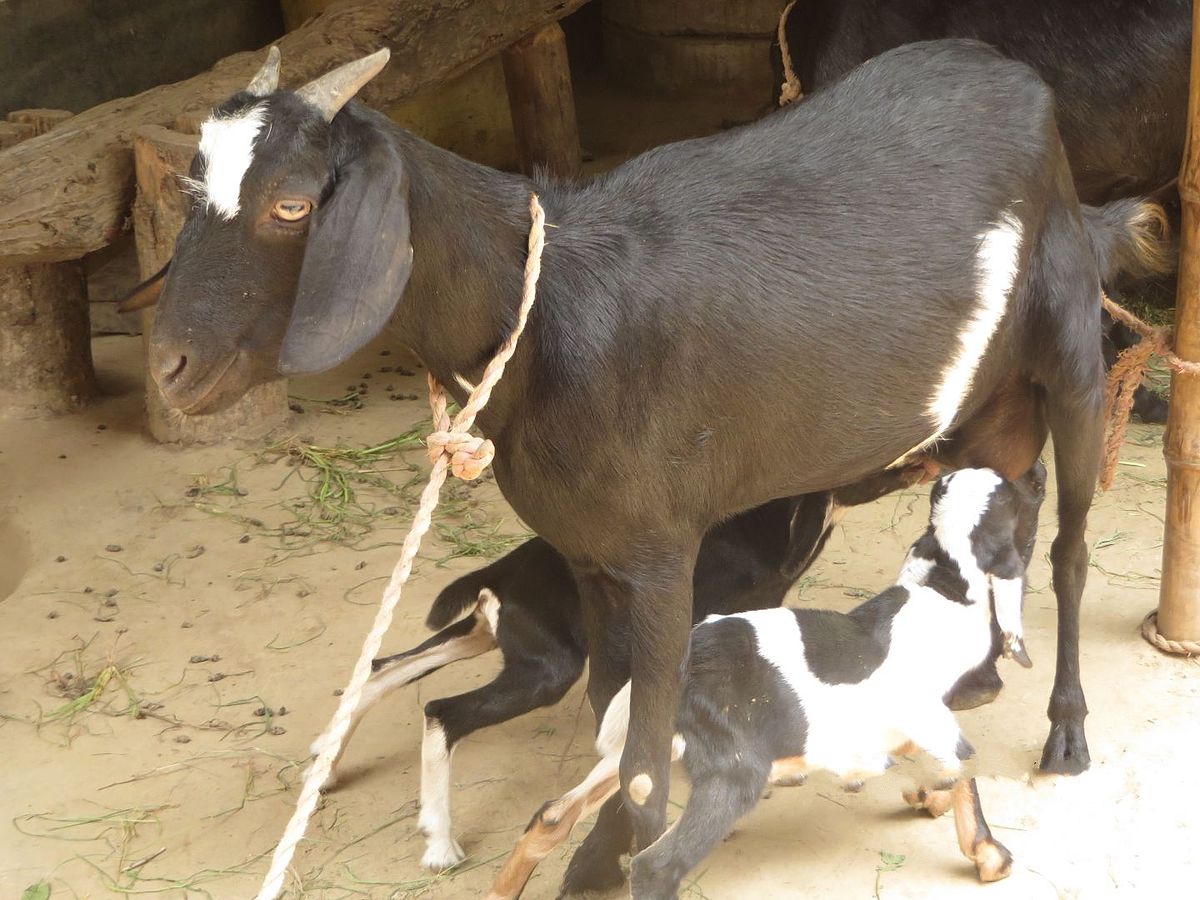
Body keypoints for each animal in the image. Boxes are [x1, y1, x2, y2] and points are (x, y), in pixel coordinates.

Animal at [136, 40, 1166, 897]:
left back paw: (1065, 733)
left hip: (1073, 353)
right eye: (189, 194)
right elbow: (610, 715)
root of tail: (1023, 89)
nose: (169, 370)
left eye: (292, 203)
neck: (546, 314)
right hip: (989, 426)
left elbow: (640, 772)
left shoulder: (666, 559)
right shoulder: (589, 558)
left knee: (1071, 548)